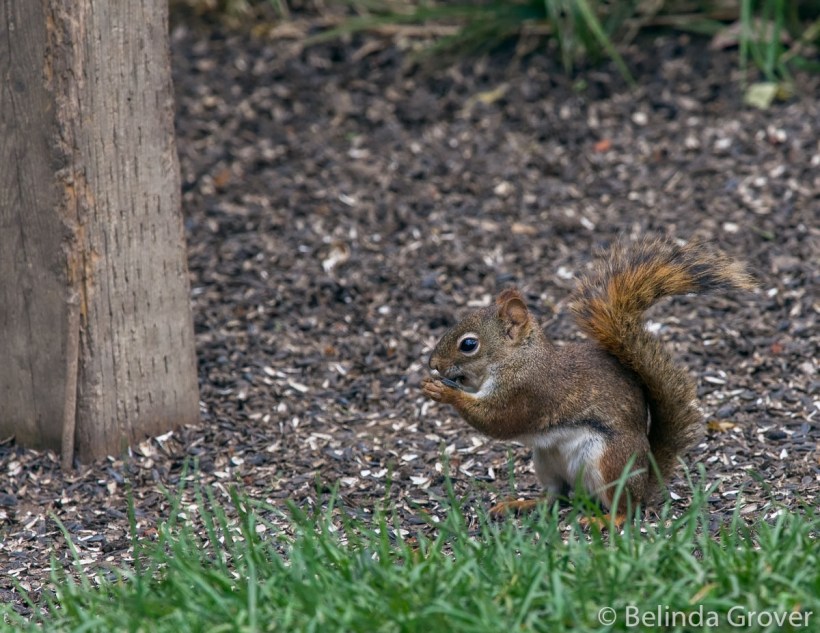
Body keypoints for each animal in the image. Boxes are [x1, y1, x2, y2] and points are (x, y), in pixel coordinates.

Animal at [421, 237, 755, 523]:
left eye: (468, 344)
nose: (433, 364)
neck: (518, 358)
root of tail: (646, 481)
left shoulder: (527, 391)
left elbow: (497, 421)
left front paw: (445, 393)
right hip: (546, 460)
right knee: (557, 496)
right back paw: (521, 503)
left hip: (608, 462)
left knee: (623, 508)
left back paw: (603, 520)